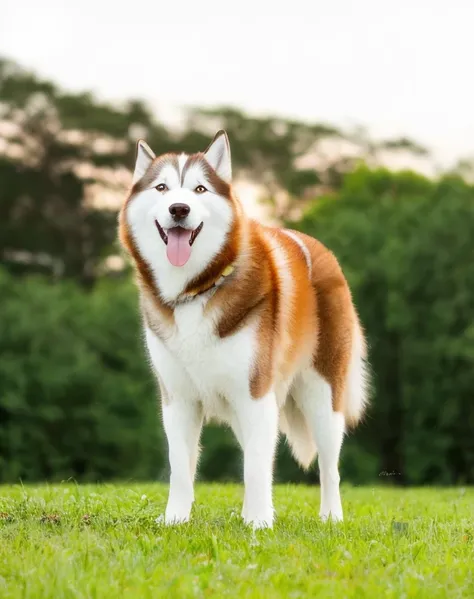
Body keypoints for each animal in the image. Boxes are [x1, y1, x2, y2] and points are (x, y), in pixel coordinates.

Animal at [119, 131, 370, 528]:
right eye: (162, 188)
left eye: (200, 189)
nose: (179, 209)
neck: (196, 288)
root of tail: (319, 248)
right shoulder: (178, 398)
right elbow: (180, 467)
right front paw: (176, 519)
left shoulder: (255, 394)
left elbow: (255, 467)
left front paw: (259, 523)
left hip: (322, 393)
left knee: (329, 465)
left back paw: (330, 517)